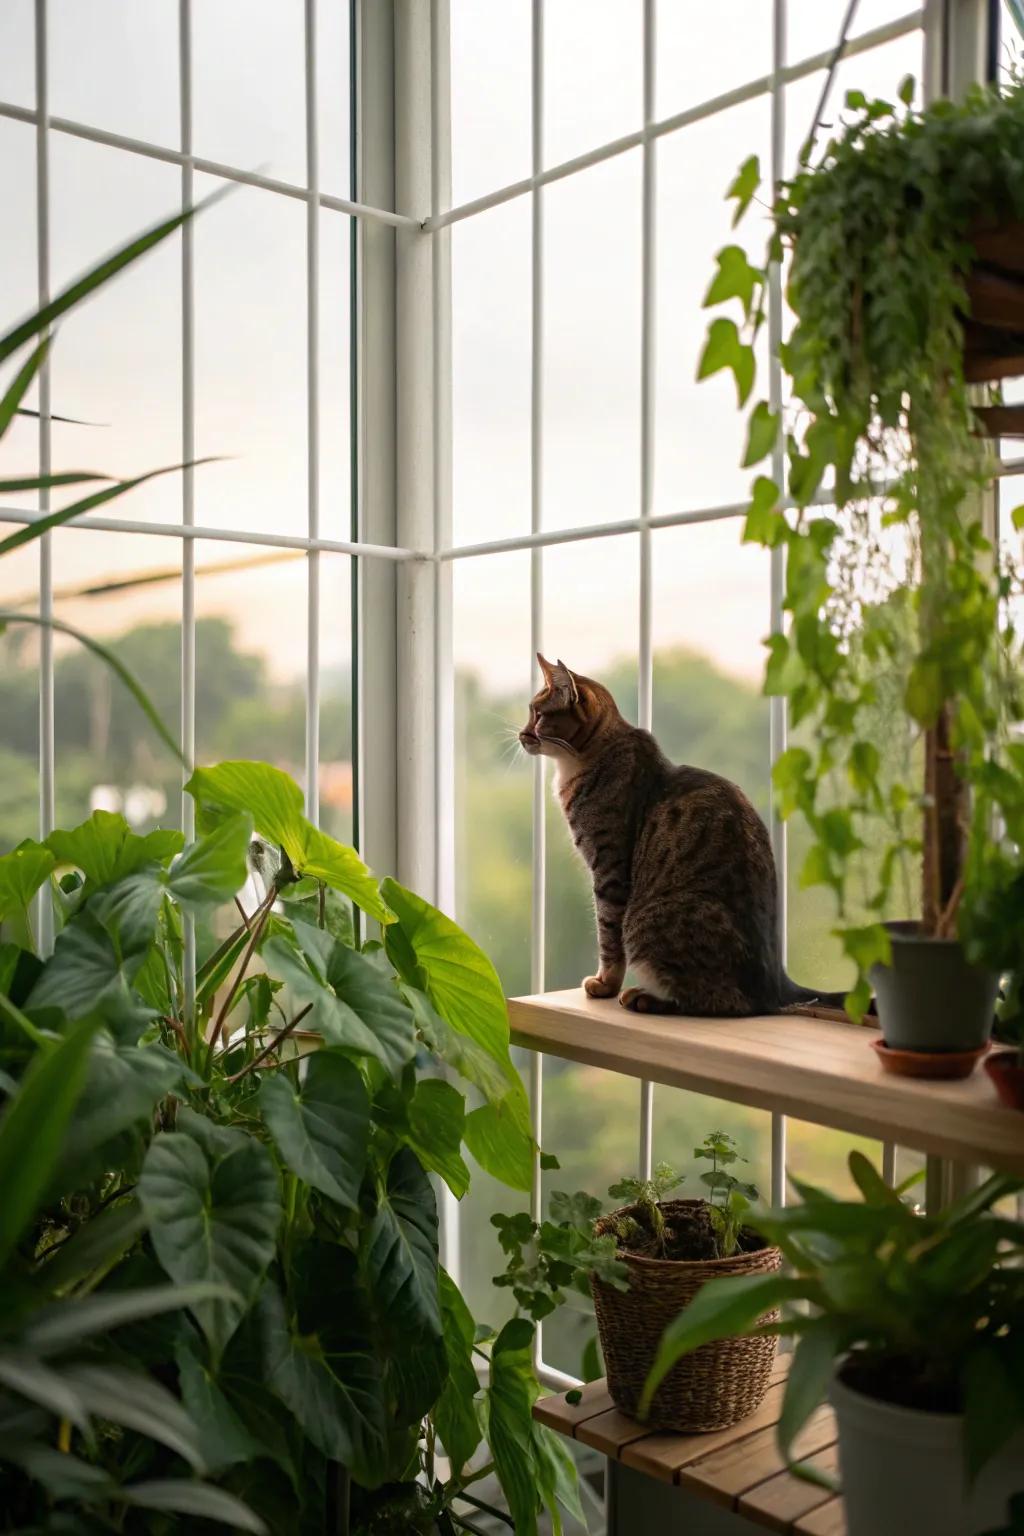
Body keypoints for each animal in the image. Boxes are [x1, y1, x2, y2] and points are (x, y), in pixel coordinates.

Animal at [525, 651, 847, 1019]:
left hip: (647, 922)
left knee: (723, 1002)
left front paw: (605, 984)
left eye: (537, 715)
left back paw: (644, 997)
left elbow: (608, 935)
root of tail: (777, 989)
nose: (521, 734)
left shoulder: (608, 870)